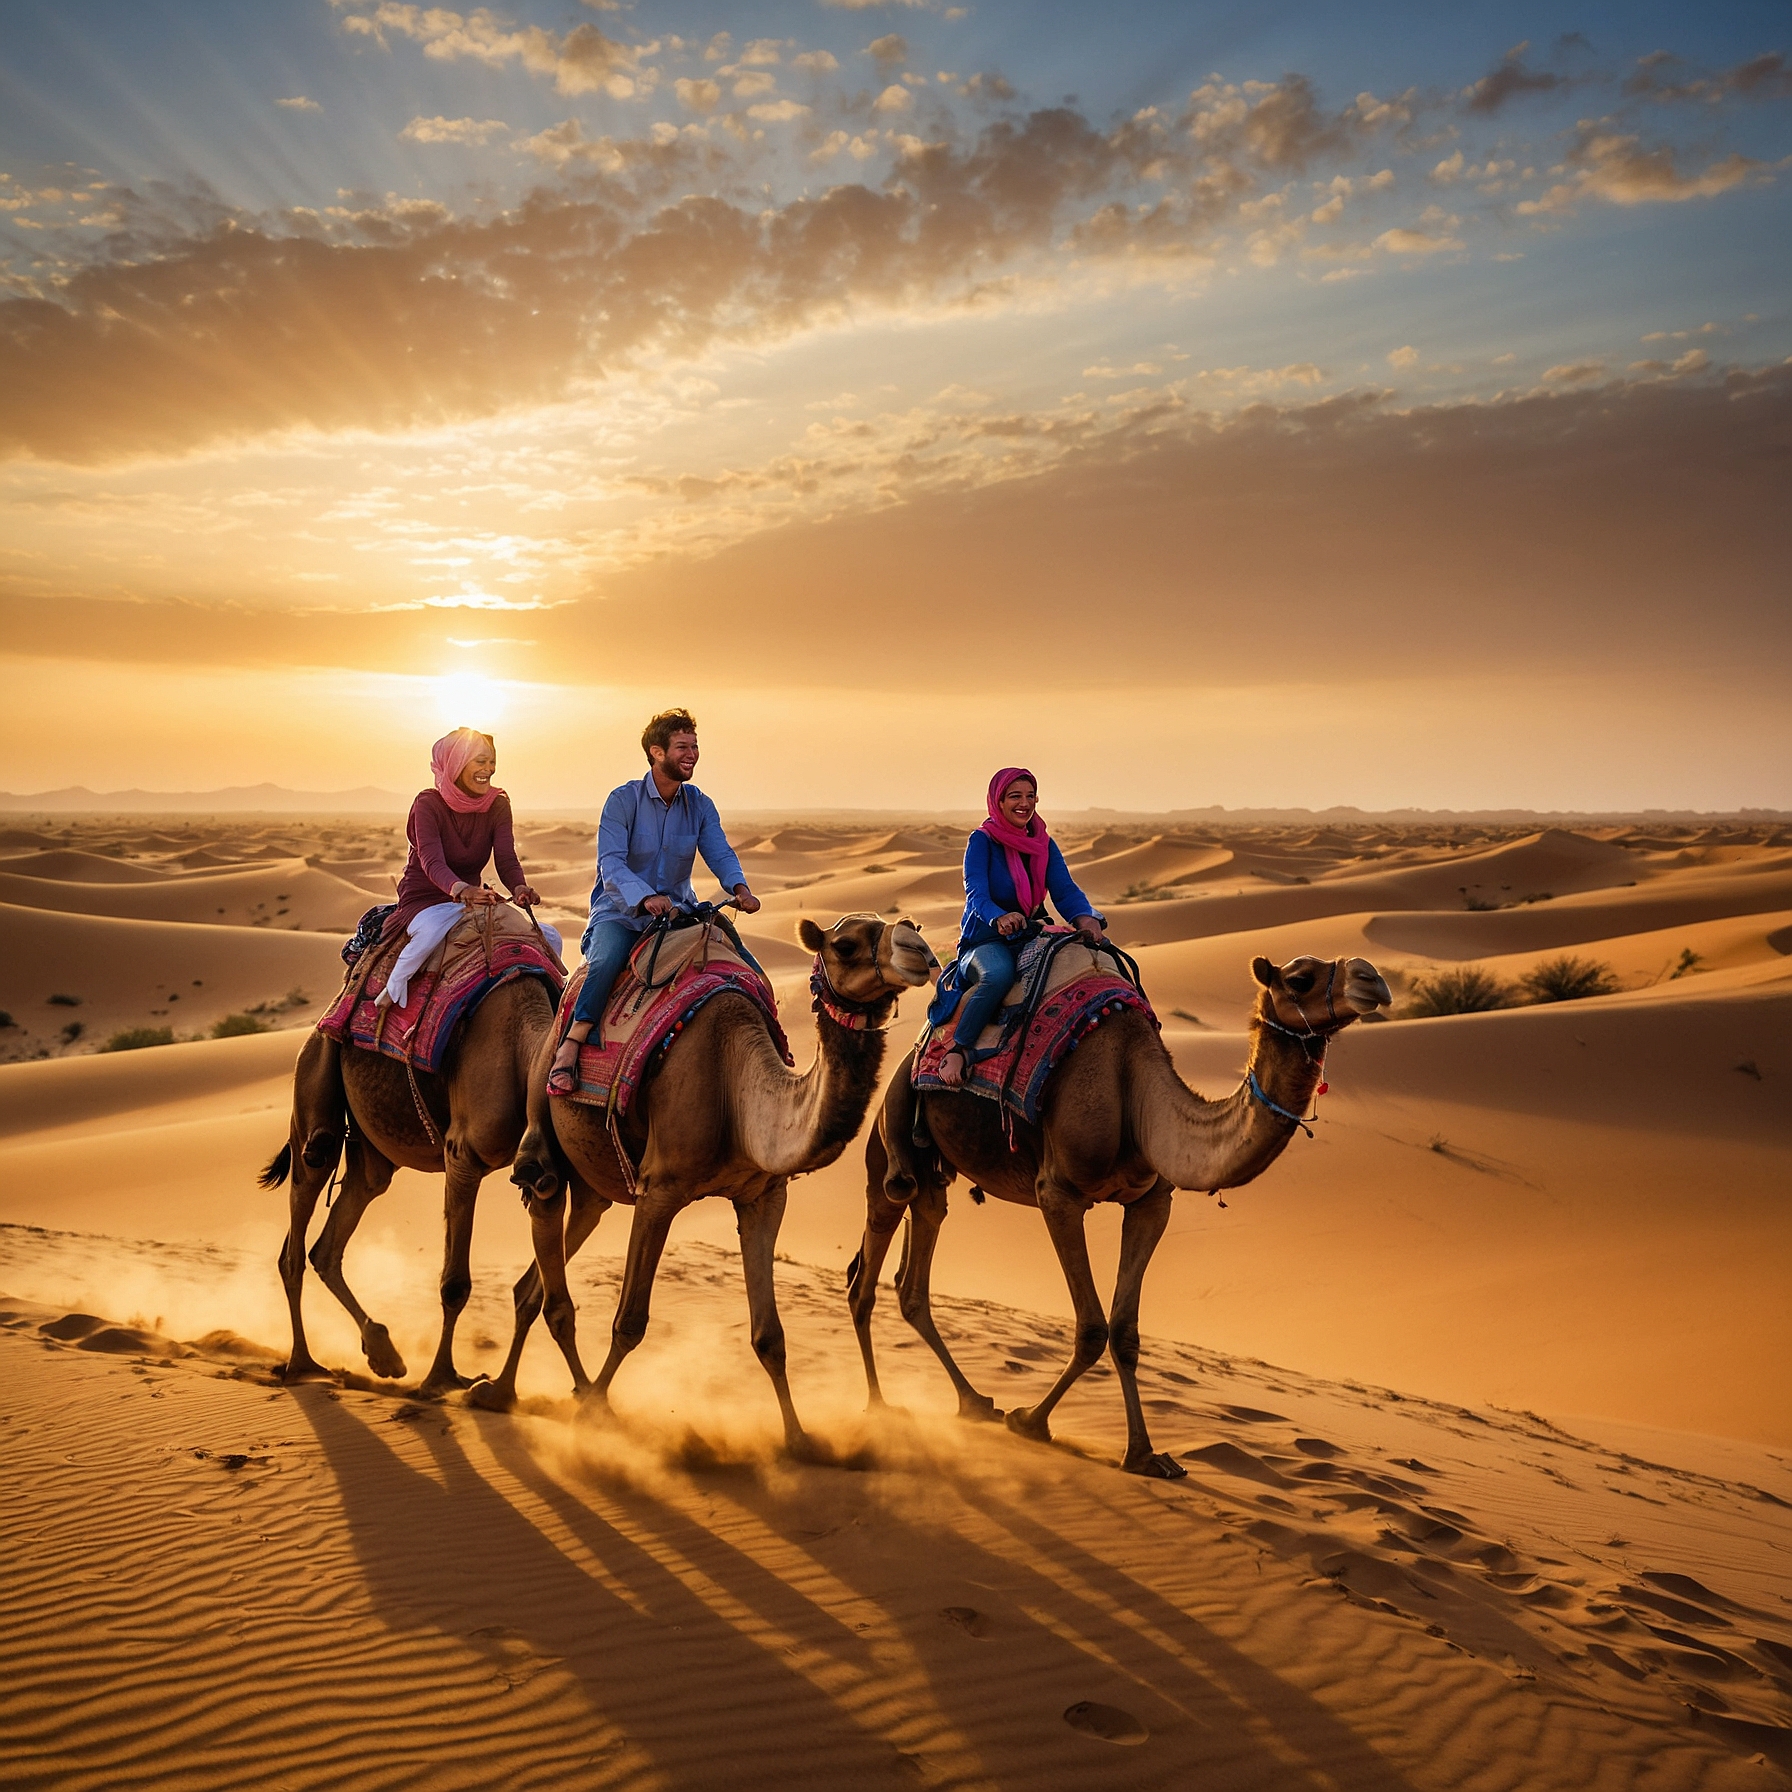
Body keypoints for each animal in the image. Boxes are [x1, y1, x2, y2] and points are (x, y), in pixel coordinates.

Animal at [258, 967, 551, 1397]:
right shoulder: (462, 1156)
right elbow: (455, 1284)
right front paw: (441, 1378)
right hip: (312, 1095)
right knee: (297, 1233)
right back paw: (303, 1363)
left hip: (371, 1153)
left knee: (331, 1240)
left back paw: (383, 1353)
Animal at [483, 910, 946, 1455]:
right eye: (846, 945)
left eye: (910, 927)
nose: (920, 949)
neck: (736, 1090)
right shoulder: (660, 1188)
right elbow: (629, 1321)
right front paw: (595, 1412)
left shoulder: (764, 1196)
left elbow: (770, 1336)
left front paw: (799, 1438)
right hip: (547, 1111)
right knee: (545, 1204)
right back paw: (518, 1391)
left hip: (594, 1180)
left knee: (544, 1268)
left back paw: (520, 1388)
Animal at [845, 960, 1390, 1476]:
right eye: (1300, 979)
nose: (1373, 979)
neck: (1136, 1094)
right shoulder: (1058, 1194)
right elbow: (1091, 1328)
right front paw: (1032, 1421)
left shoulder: (1152, 1203)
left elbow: (1125, 1333)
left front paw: (1145, 1455)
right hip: (889, 1143)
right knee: (867, 1272)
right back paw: (879, 1405)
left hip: (935, 1173)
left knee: (916, 1267)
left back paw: (974, 1402)